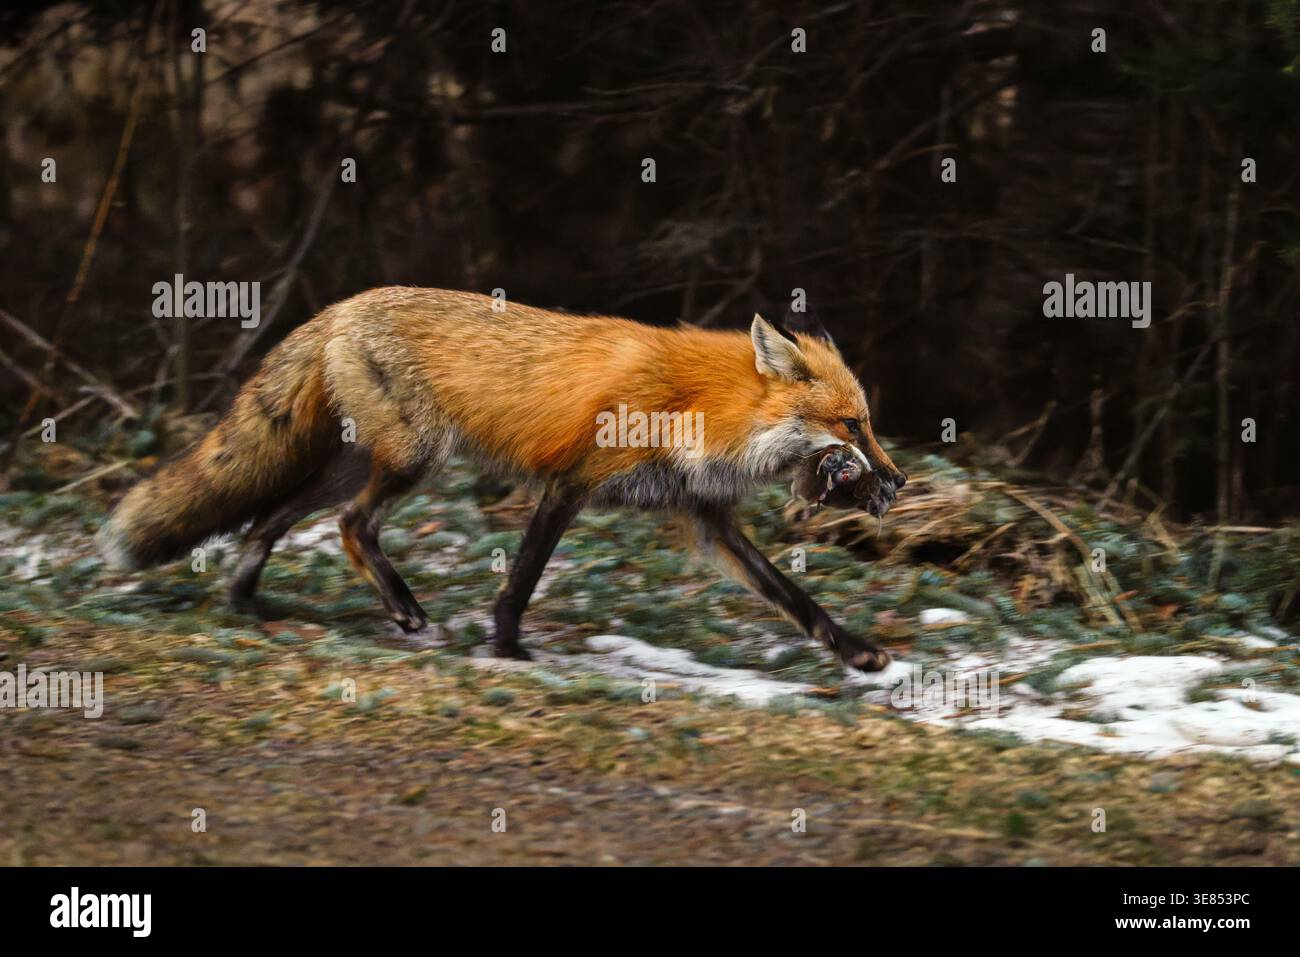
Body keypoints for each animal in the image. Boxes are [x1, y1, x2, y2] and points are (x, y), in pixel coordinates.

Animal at [97, 288, 907, 672]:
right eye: (852, 425)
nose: (897, 483)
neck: (701, 407)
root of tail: (342, 306)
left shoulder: (707, 519)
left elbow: (796, 598)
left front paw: (854, 652)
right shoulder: (571, 482)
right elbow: (520, 580)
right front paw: (508, 650)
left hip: (353, 464)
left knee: (271, 518)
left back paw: (243, 601)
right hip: (413, 459)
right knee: (351, 526)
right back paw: (402, 608)